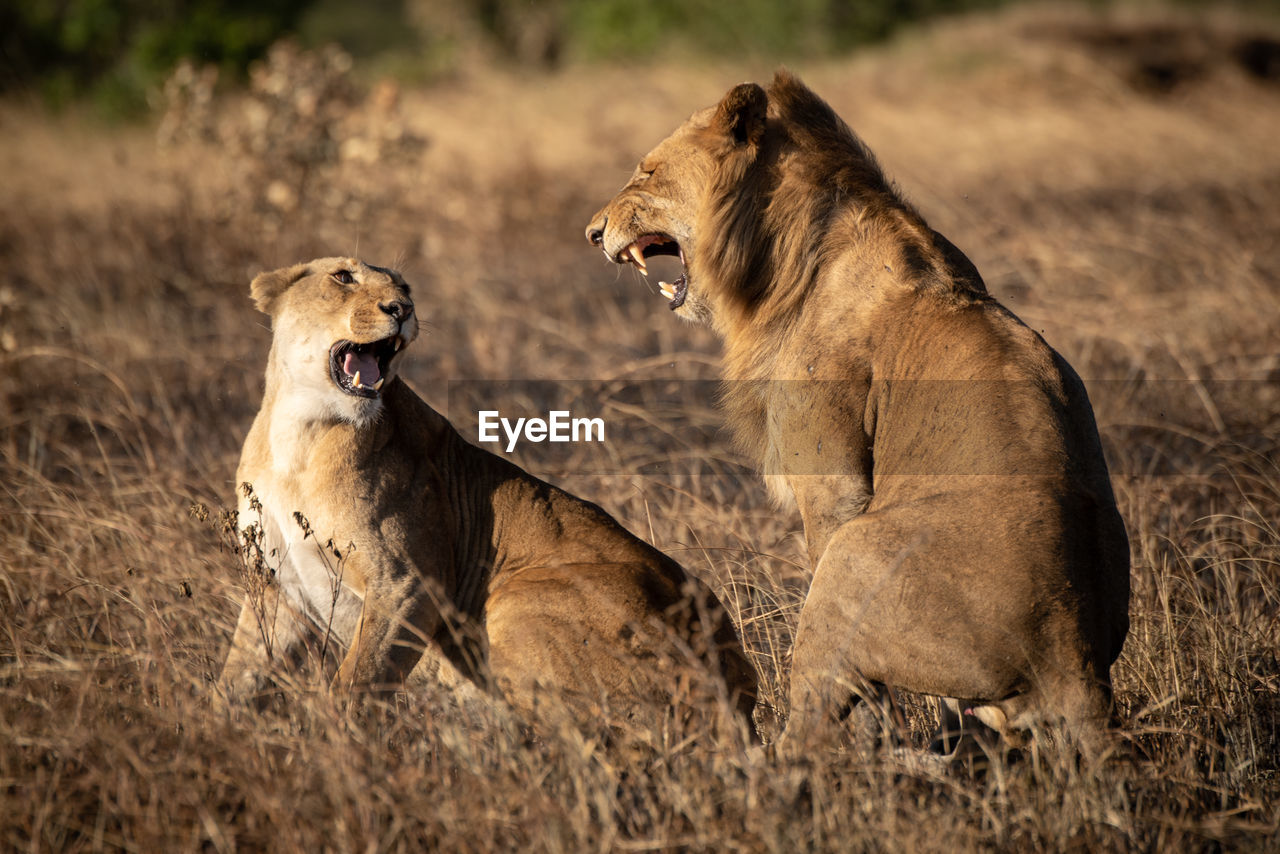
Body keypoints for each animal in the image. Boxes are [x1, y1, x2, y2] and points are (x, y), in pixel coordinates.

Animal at [217, 256, 757, 742]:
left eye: (404, 287)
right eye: (343, 277)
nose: (402, 309)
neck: (300, 430)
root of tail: (735, 697)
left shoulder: (408, 584)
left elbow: (356, 681)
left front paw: (334, 752)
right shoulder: (277, 586)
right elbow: (237, 678)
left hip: (513, 599)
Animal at [586, 73, 1126, 752]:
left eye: (649, 172)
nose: (592, 232)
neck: (781, 262)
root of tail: (1074, 658)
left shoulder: (834, 484)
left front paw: (870, 734)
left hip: (855, 551)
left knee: (812, 700)